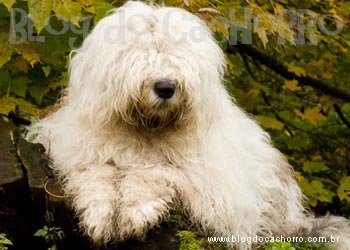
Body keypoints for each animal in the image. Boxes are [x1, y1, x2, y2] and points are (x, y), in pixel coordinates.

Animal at [30, 0, 350, 249]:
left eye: (179, 55)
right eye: (139, 53)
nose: (165, 87)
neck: (147, 130)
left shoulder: (209, 182)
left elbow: (156, 172)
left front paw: (134, 212)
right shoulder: (81, 150)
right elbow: (96, 173)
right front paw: (99, 217)